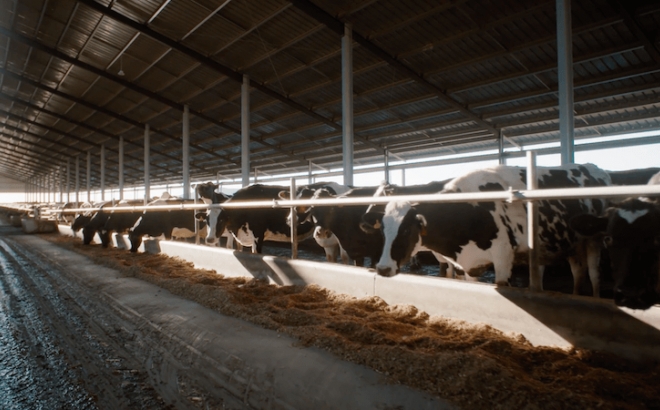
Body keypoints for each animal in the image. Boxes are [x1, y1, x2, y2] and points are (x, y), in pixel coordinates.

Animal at [364, 164, 612, 298]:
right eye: (383, 230)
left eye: (406, 230)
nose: (383, 268)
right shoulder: (467, 265)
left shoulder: (503, 256)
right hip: (571, 243)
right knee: (578, 273)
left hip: (595, 239)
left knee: (594, 274)